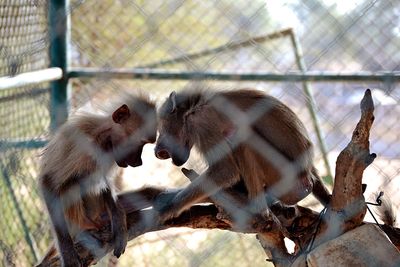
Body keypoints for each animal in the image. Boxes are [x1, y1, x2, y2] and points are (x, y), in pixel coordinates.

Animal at [38, 92, 156, 267]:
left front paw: (119, 224)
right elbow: (48, 181)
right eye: (141, 143)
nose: (139, 162)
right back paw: (85, 226)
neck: (101, 137)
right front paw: (67, 253)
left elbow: (106, 184)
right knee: (72, 183)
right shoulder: (81, 144)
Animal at [153, 88, 332, 226]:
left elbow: (225, 170)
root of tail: (306, 175)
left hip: (287, 179)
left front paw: (170, 208)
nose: (157, 149)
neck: (194, 107)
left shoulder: (203, 122)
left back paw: (258, 208)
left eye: (161, 128)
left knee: (242, 139)